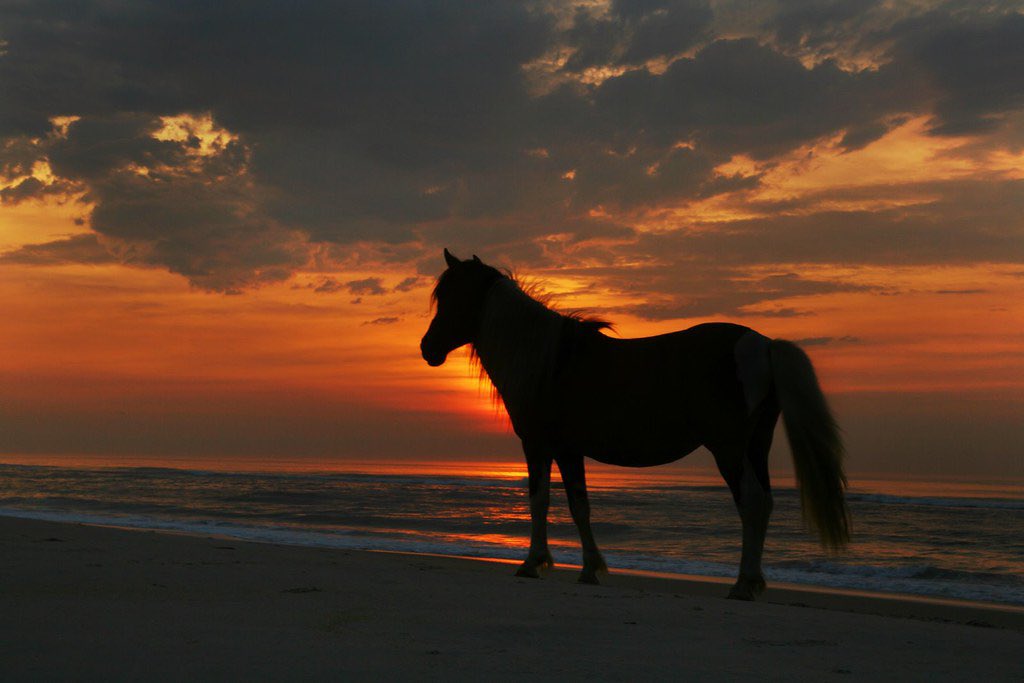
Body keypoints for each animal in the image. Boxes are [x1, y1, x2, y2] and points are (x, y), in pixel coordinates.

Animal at [420, 249, 850, 600]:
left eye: (455, 296)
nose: (427, 349)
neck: (549, 362)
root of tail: (762, 344)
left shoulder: (539, 445)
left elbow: (540, 500)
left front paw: (534, 563)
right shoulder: (569, 450)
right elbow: (579, 505)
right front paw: (590, 568)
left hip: (728, 449)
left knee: (752, 502)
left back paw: (743, 584)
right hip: (755, 445)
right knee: (765, 501)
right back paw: (753, 581)